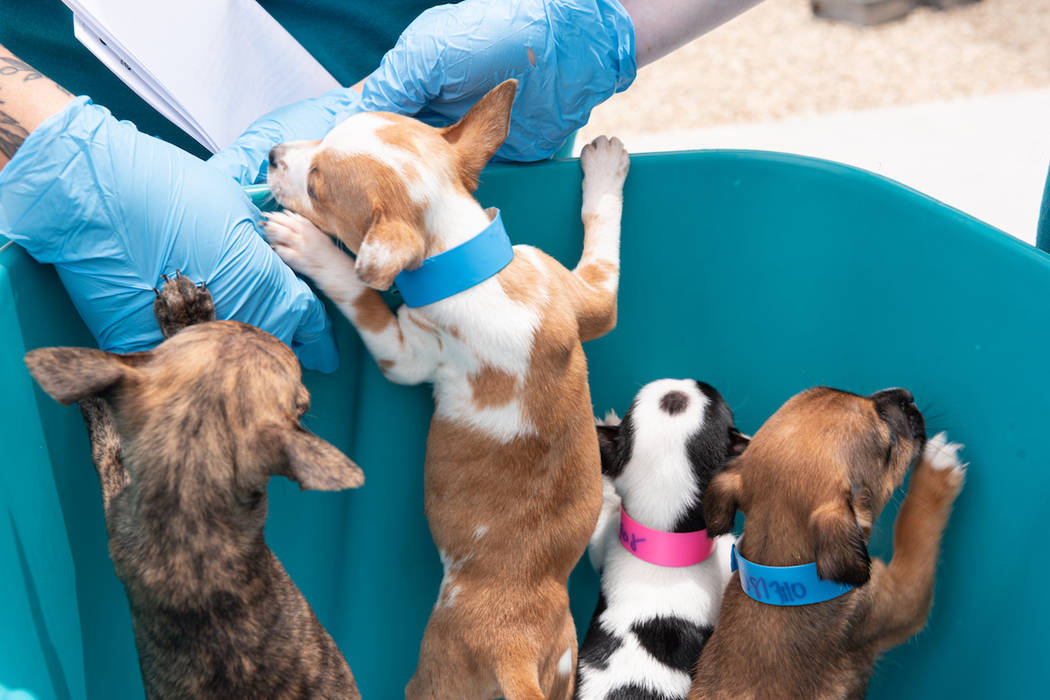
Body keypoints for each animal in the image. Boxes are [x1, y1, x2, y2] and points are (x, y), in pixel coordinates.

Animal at [262, 82, 630, 700]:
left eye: (315, 185)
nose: (271, 153)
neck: (469, 262)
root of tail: (514, 646)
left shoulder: (405, 354)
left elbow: (360, 291)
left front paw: (311, 247)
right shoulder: (591, 301)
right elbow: (604, 244)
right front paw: (606, 171)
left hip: (434, 673)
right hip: (563, 666)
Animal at [688, 388, 965, 700]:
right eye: (889, 447)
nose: (906, 396)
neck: (779, 562)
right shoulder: (905, 596)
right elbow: (917, 526)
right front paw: (937, 471)